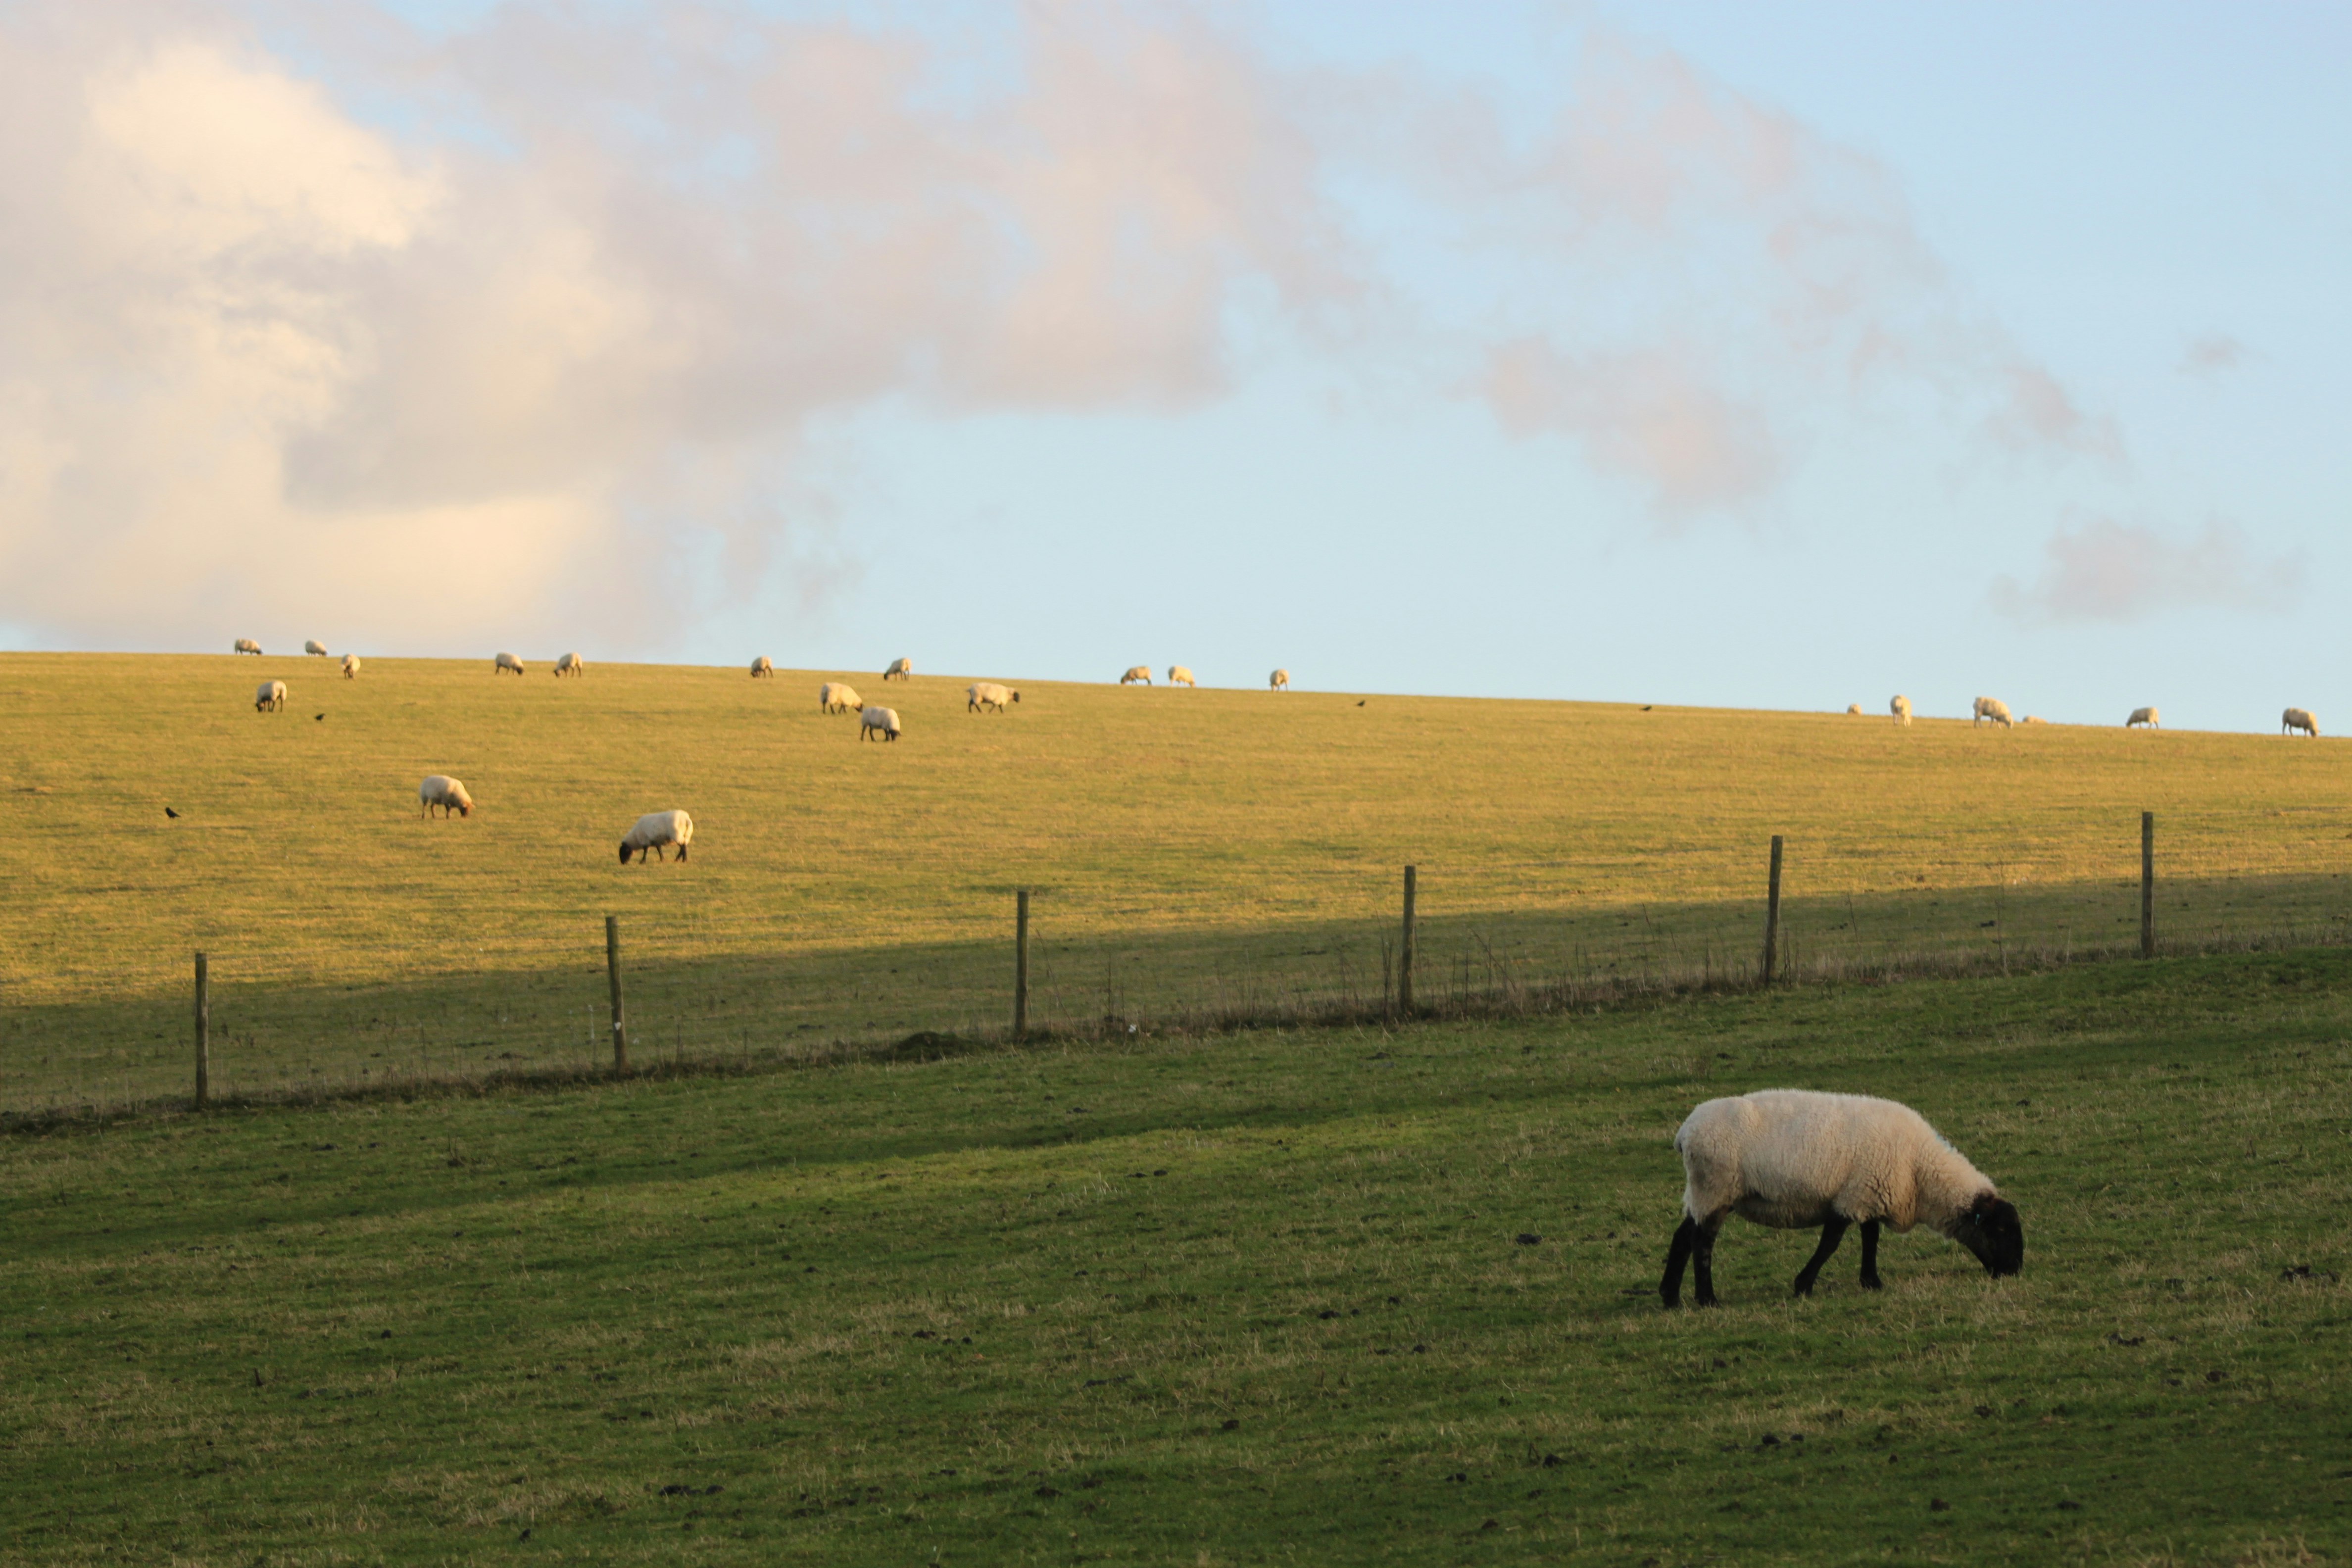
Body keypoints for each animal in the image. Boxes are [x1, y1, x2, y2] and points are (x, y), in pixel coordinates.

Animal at [616, 808, 686, 870]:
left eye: (624, 852)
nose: (623, 863)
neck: (636, 837)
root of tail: (686, 819)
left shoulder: (645, 840)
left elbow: (646, 851)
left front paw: (642, 862)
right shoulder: (657, 841)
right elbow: (659, 850)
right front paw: (662, 859)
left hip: (676, 834)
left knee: (683, 846)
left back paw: (682, 860)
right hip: (684, 835)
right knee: (684, 846)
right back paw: (680, 859)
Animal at [1656, 1090, 2022, 1316]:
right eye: (2001, 1230)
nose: (2015, 1272)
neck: (1921, 1171)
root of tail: (1685, 1133)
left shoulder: (1870, 1193)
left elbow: (1871, 1239)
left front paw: (1871, 1282)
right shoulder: (1851, 1197)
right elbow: (1831, 1243)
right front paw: (1804, 1286)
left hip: (1705, 1193)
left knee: (1683, 1236)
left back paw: (1670, 1297)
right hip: (1715, 1187)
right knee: (1703, 1242)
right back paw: (1707, 1300)